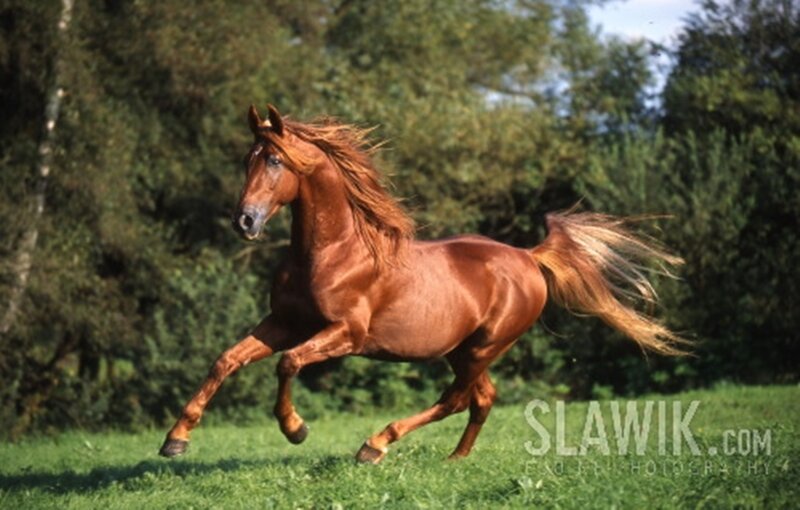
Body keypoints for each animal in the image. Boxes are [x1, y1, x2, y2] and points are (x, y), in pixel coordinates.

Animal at [159, 104, 687, 463]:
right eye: (246, 159)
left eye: (274, 161)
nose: (244, 221)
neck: (332, 252)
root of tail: (528, 257)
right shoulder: (284, 322)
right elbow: (226, 360)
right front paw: (175, 439)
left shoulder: (345, 334)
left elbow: (287, 364)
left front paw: (295, 429)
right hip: (463, 350)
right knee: (481, 399)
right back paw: (455, 459)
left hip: (483, 347)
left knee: (456, 399)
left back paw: (374, 446)